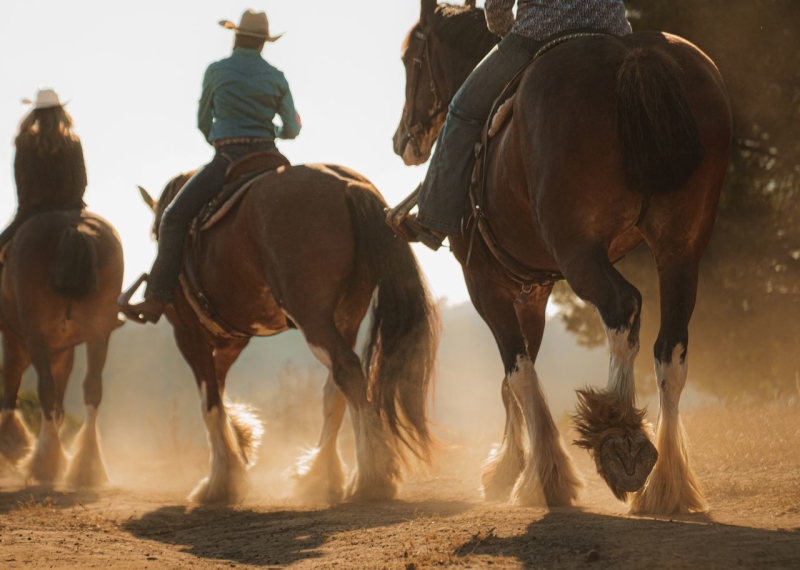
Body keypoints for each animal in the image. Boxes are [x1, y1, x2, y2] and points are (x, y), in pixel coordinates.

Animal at [0, 210, 124, 485]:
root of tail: (74, 228)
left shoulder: (17, 342)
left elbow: (11, 390)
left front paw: (12, 444)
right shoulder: (62, 350)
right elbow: (59, 403)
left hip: (34, 336)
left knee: (44, 390)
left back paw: (44, 463)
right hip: (98, 332)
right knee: (92, 388)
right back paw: (86, 466)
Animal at [135, 163, 438, 504]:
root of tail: (348, 186)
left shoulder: (187, 334)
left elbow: (210, 404)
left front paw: (220, 480)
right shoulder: (231, 341)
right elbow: (219, 393)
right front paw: (240, 444)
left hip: (312, 318)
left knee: (346, 370)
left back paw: (371, 478)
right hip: (347, 316)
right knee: (336, 388)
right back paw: (321, 475)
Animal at [392, 1, 732, 515]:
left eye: (412, 61)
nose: (402, 141)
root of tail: (633, 56)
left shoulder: (484, 282)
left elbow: (518, 373)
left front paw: (540, 476)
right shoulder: (532, 291)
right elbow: (514, 378)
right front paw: (512, 467)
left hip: (580, 252)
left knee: (623, 309)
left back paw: (620, 438)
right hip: (680, 250)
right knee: (670, 350)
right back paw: (667, 485)